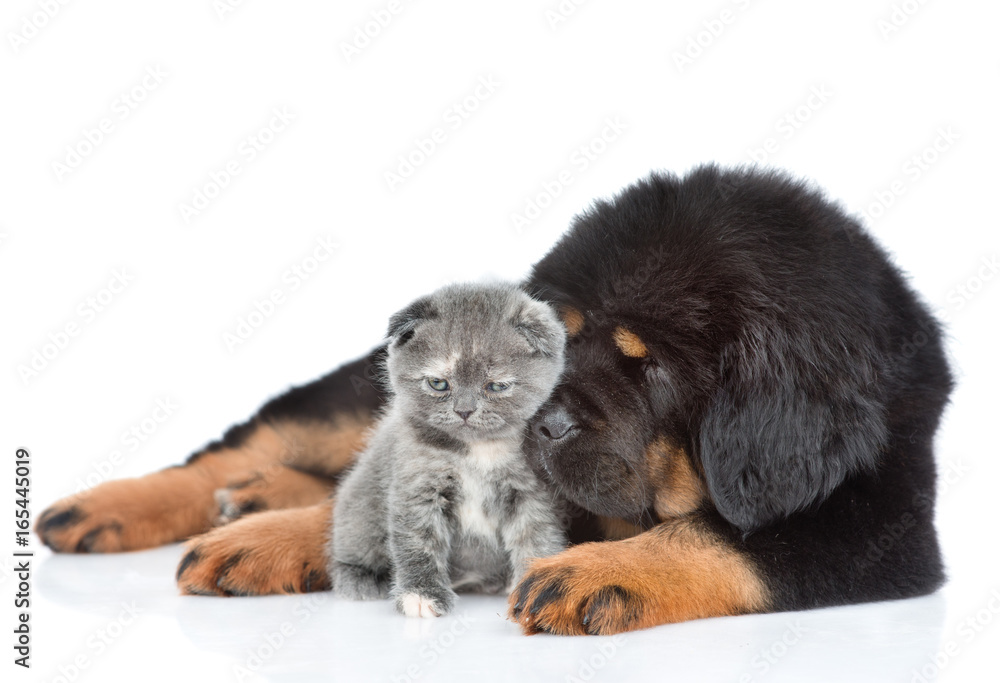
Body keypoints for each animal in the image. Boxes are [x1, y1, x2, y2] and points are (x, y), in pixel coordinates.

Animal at [332, 280, 568, 616]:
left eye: (496, 386)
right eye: (438, 383)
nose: (464, 411)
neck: (477, 450)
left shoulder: (530, 492)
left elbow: (537, 537)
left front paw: (533, 585)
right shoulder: (417, 487)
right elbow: (418, 543)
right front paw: (421, 594)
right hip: (358, 505)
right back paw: (361, 579)